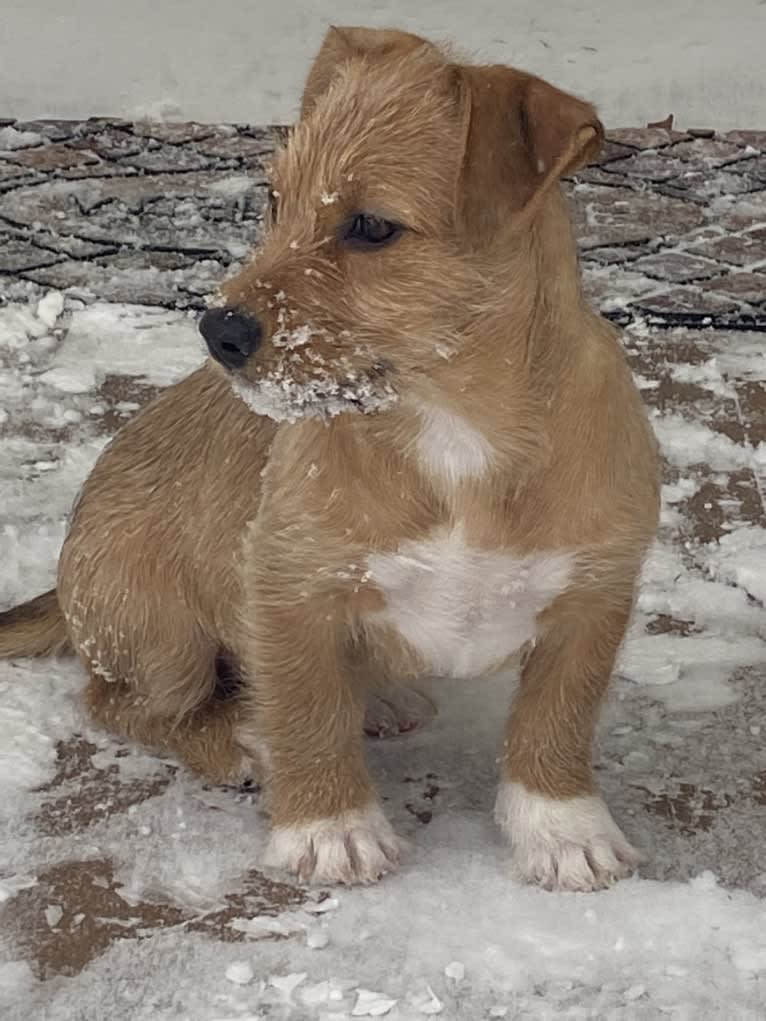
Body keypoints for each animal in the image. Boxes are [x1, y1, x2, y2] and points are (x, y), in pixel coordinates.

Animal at [0, 27, 661, 894]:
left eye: (372, 227)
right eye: (274, 200)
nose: (218, 332)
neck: (455, 426)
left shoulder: (592, 596)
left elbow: (558, 717)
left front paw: (563, 826)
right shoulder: (288, 583)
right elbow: (308, 706)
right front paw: (329, 826)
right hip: (161, 638)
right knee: (123, 701)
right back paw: (242, 736)